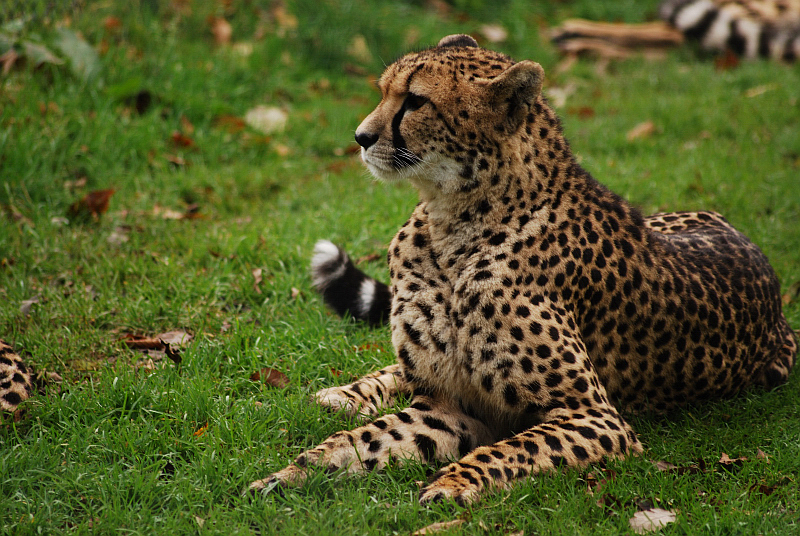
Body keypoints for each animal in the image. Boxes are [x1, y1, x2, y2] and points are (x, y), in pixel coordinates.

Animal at [248, 34, 798, 505]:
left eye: (416, 101)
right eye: (384, 91)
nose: (361, 137)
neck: (451, 222)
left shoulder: (594, 417)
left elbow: (512, 448)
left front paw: (452, 483)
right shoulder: (447, 403)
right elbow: (363, 439)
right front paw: (290, 472)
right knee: (397, 371)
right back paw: (340, 393)